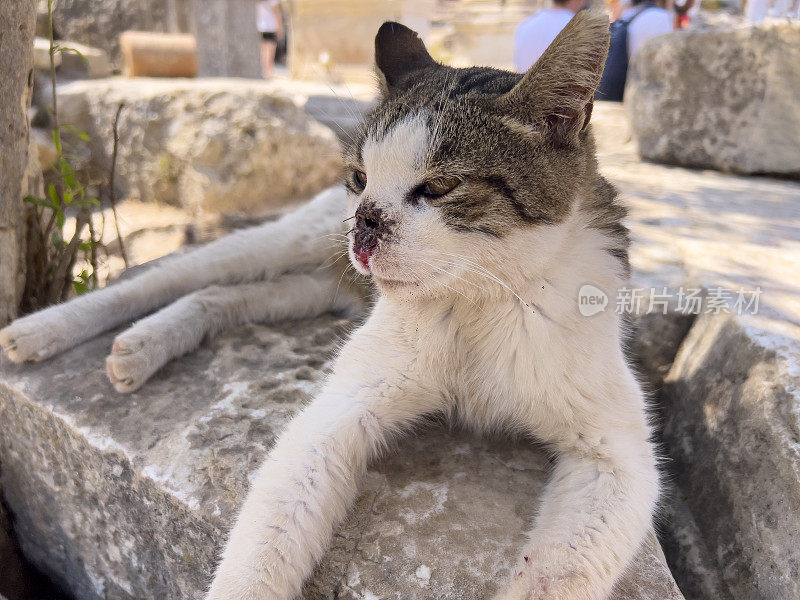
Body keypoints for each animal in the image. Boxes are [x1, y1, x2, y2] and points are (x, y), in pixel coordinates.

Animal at [3, 14, 660, 600]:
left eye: (440, 187)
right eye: (360, 176)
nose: (365, 221)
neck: (479, 302)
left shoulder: (618, 457)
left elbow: (559, 574)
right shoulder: (341, 411)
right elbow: (266, 540)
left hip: (321, 283)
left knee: (220, 295)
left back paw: (139, 348)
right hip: (290, 241)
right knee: (168, 277)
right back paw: (42, 330)